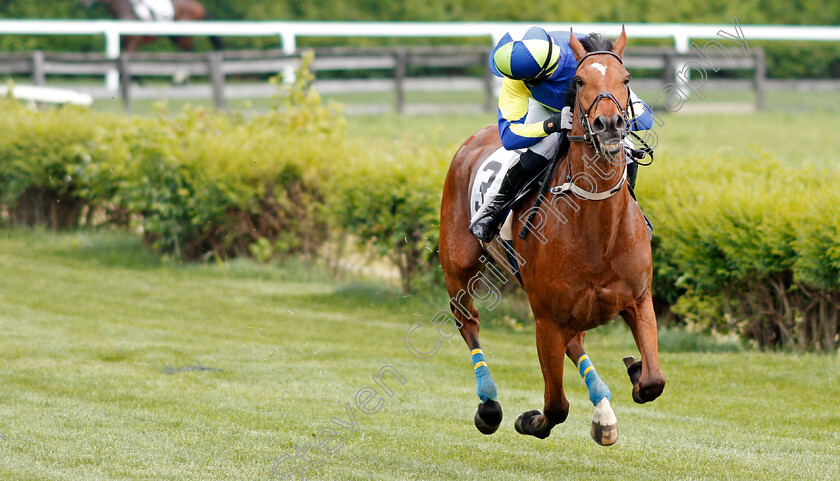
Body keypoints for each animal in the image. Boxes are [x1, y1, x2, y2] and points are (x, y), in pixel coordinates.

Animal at [79, 0, 221, 52]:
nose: (83, 3)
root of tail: (199, 6)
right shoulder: (123, 42)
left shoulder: (133, 43)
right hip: (176, 37)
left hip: (183, 38)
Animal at [440, 28, 668, 444]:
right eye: (579, 81)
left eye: (626, 79)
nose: (610, 124)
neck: (598, 233)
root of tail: (473, 140)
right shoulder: (546, 319)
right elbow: (556, 406)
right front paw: (529, 420)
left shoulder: (639, 299)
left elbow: (652, 381)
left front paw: (634, 369)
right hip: (458, 267)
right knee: (468, 321)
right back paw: (489, 406)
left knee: (575, 343)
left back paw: (604, 412)